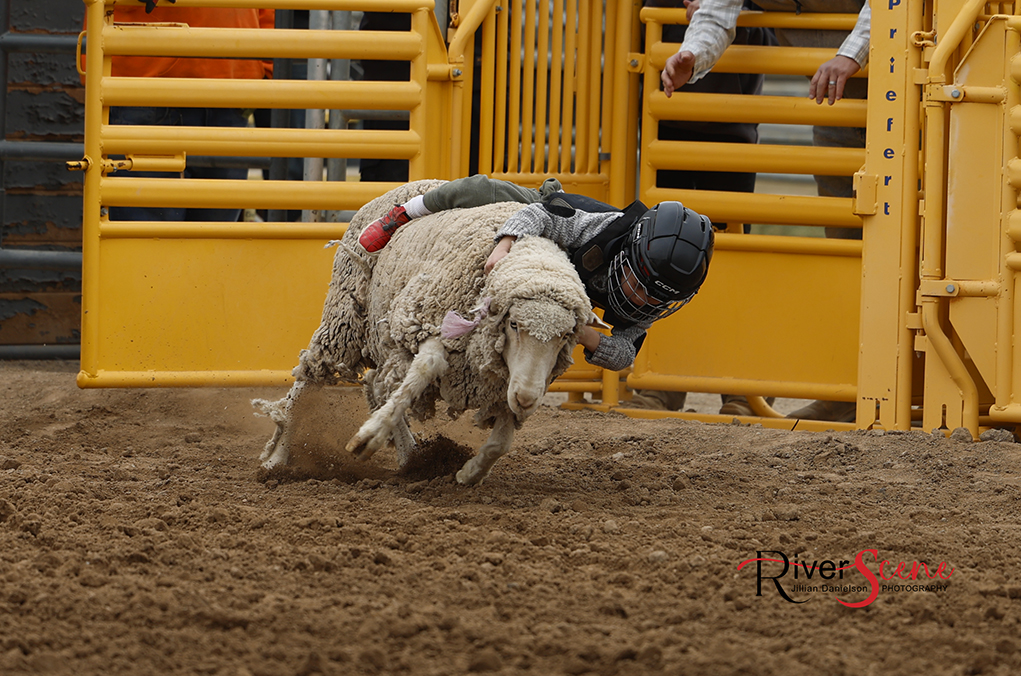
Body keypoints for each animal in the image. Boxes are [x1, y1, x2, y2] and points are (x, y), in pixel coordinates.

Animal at [250, 181, 596, 488]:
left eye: (566, 335)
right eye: (513, 324)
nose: (526, 398)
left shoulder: (506, 379)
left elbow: (501, 441)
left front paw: (469, 473)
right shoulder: (421, 320)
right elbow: (424, 369)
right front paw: (369, 437)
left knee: (376, 383)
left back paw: (410, 457)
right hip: (345, 315)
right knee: (311, 376)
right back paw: (277, 458)